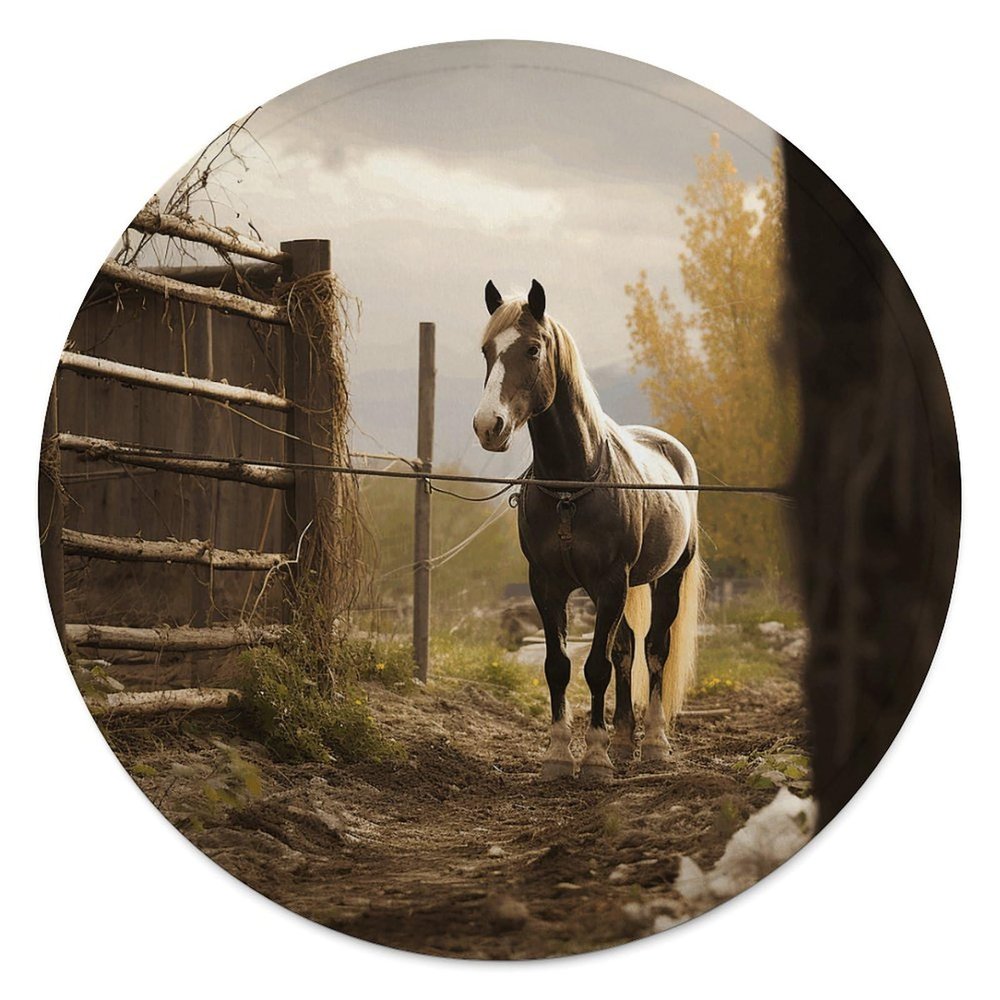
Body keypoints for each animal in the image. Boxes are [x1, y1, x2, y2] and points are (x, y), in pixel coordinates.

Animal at [473, 279, 704, 782]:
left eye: (533, 349)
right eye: (486, 351)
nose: (487, 426)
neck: (570, 489)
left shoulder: (611, 582)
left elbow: (596, 667)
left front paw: (595, 759)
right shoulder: (548, 586)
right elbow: (558, 666)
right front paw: (561, 755)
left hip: (666, 578)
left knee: (654, 649)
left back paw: (653, 742)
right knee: (627, 648)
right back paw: (623, 738)